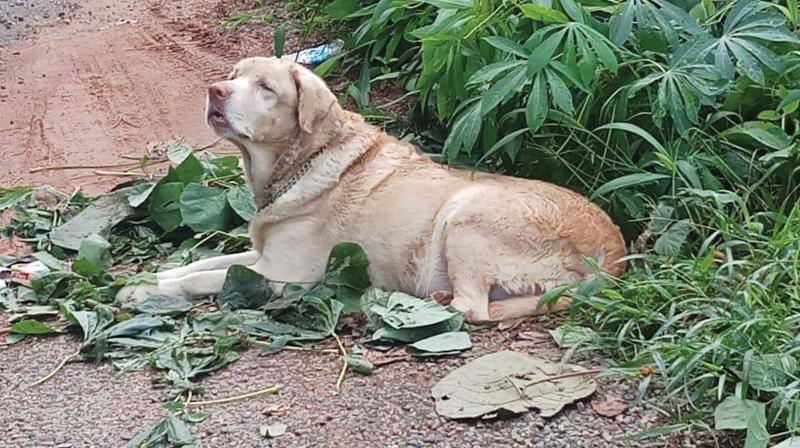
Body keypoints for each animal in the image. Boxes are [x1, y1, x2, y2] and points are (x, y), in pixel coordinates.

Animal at [117, 57, 624, 322]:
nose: (215, 90)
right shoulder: (260, 255)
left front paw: (141, 295)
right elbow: (202, 264)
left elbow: (207, 278)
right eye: (233, 74)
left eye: (265, 87)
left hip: (465, 212)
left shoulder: (286, 276)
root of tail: (615, 255)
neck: (303, 160)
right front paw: (145, 281)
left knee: (474, 309)